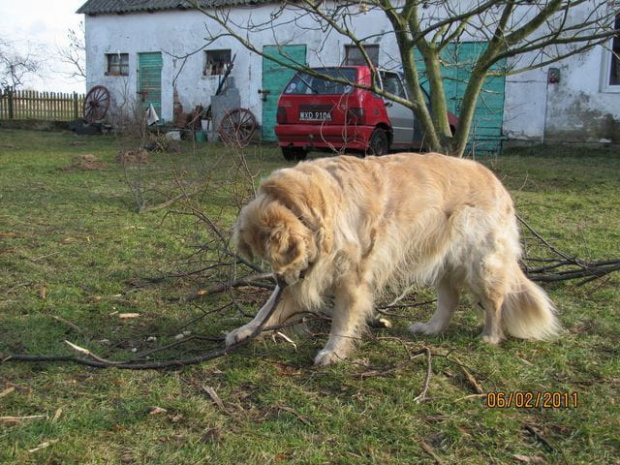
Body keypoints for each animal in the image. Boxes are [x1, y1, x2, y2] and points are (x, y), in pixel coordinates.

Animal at [226, 151, 556, 362]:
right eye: (267, 262)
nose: (281, 280)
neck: (312, 205)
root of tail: (495, 180)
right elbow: (266, 310)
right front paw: (245, 331)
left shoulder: (353, 277)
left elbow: (343, 318)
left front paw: (334, 351)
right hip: (442, 260)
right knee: (450, 298)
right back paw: (431, 328)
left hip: (481, 262)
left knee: (495, 301)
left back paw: (490, 335)